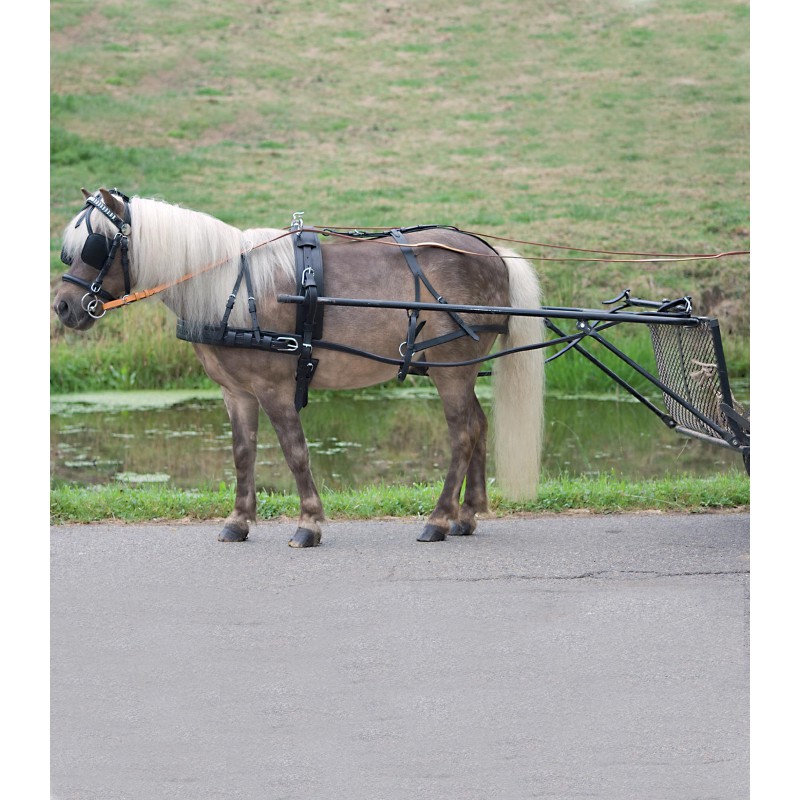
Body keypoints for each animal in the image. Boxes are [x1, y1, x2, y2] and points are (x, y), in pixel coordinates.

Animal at [53, 188, 545, 547]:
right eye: (70, 251)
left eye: (95, 246)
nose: (62, 307)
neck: (233, 288)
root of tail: (490, 252)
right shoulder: (236, 392)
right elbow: (243, 453)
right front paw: (238, 521)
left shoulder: (273, 387)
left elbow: (295, 450)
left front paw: (309, 523)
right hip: (460, 369)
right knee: (478, 426)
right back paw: (467, 514)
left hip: (451, 368)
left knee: (462, 434)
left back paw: (439, 519)